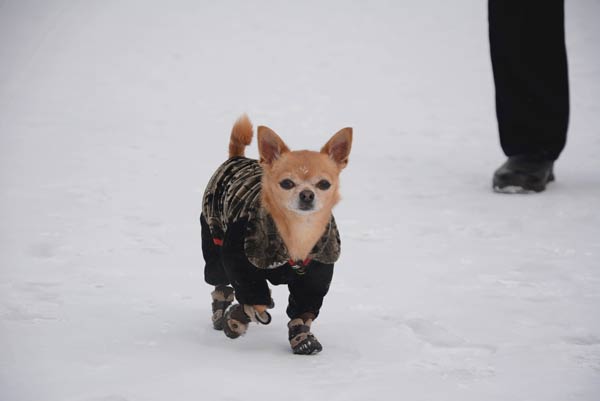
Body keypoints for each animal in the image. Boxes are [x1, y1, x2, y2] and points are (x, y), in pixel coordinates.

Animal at [202, 114, 352, 352]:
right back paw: (220, 310)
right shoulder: (238, 258)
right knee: (220, 280)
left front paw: (302, 337)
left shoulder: (317, 271)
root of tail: (237, 157)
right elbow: (255, 298)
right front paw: (238, 317)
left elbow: (303, 307)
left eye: (324, 184)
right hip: (213, 238)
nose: (307, 195)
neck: (297, 231)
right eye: (287, 183)